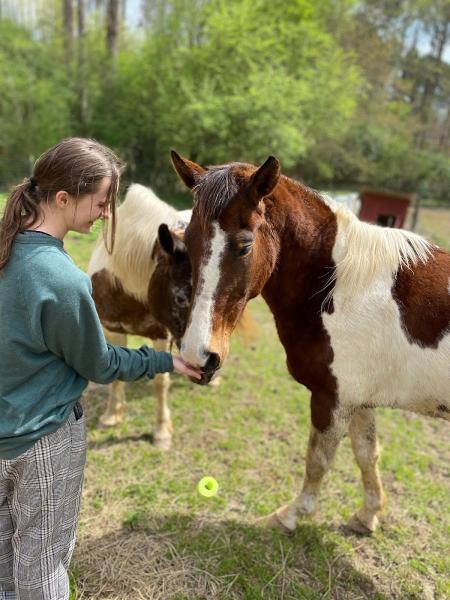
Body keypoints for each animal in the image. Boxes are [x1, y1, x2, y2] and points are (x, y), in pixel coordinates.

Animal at [89, 183, 192, 450]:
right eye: (180, 297)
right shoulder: (113, 330)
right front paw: (111, 416)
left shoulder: (161, 337)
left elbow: (160, 383)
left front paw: (161, 432)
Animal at [171, 151, 448, 536]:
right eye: (190, 242)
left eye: (244, 245)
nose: (197, 355)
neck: (341, 289)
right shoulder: (358, 400)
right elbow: (366, 454)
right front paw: (368, 514)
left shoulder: (332, 400)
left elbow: (318, 460)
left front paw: (290, 515)